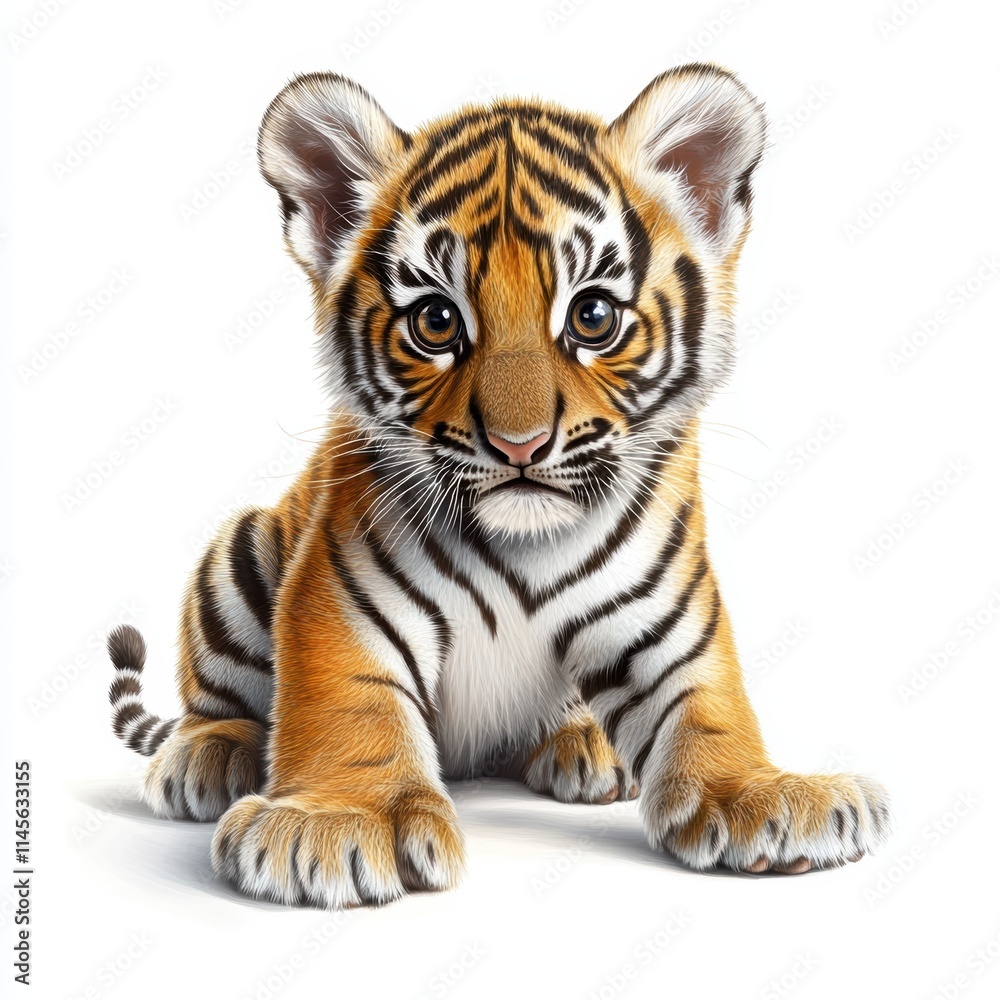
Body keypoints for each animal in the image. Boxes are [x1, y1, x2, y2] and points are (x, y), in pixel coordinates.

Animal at [107, 63, 891, 908]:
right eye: (436, 322)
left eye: (592, 315)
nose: (520, 445)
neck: (526, 544)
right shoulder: (340, 598)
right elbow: (349, 697)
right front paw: (334, 825)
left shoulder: (670, 624)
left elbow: (711, 705)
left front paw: (770, 797)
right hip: (242, 547)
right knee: (216, 698)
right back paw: (206, 758)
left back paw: (584, 748)